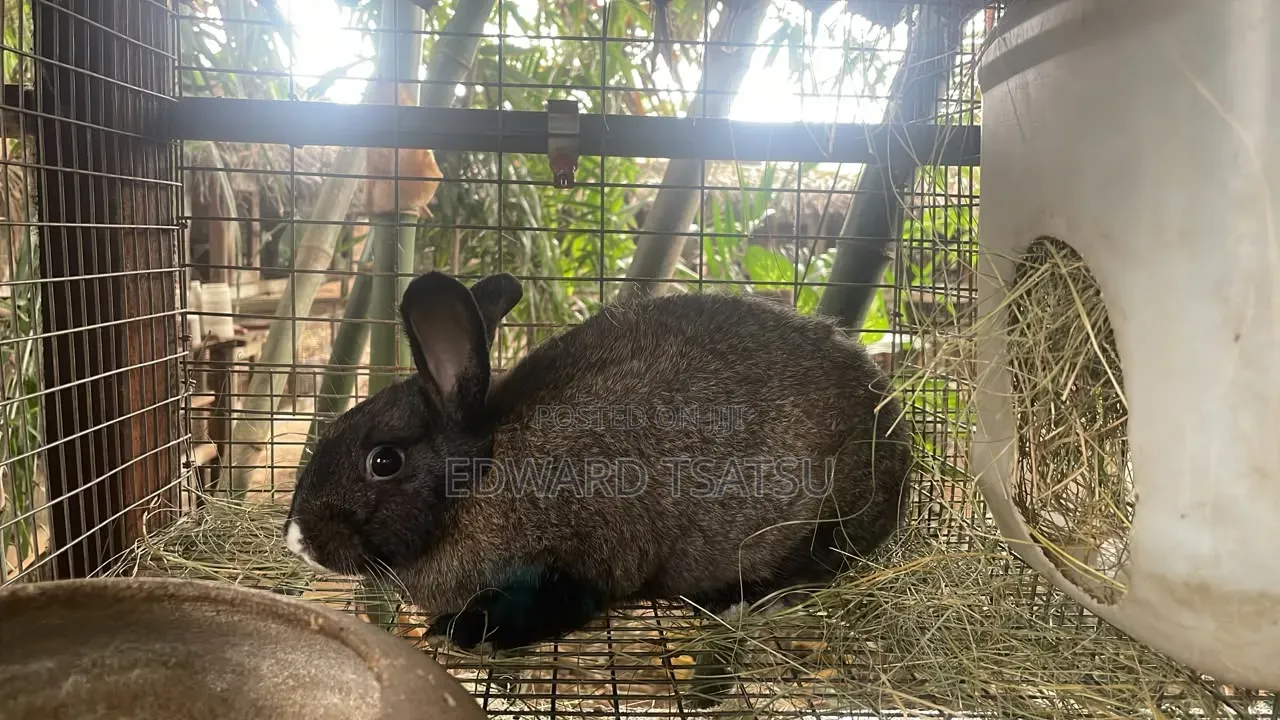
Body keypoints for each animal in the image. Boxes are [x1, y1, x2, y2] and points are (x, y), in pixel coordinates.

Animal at [283, 271, 914, 653]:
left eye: (384, 460)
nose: (296, 539)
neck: (479, 481)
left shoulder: (575, 567)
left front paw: (462, 632)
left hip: (823, 517)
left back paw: (744, 601)